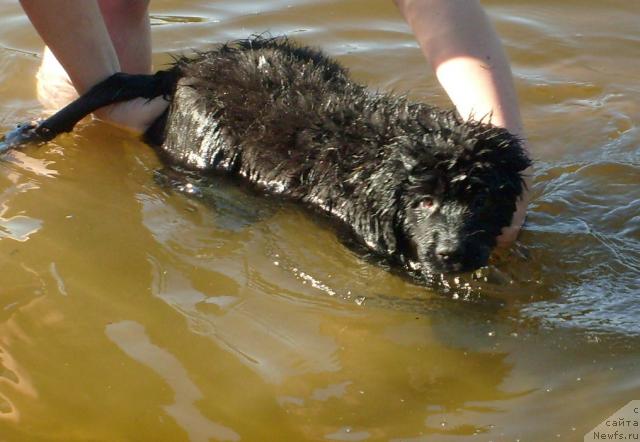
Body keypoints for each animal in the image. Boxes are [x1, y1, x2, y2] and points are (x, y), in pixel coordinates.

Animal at [0, 38, 528, 280]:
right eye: (422, 203)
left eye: (480, 198)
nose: (453, 253)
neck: (378, 157)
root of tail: (185, 71)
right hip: (200, 141)